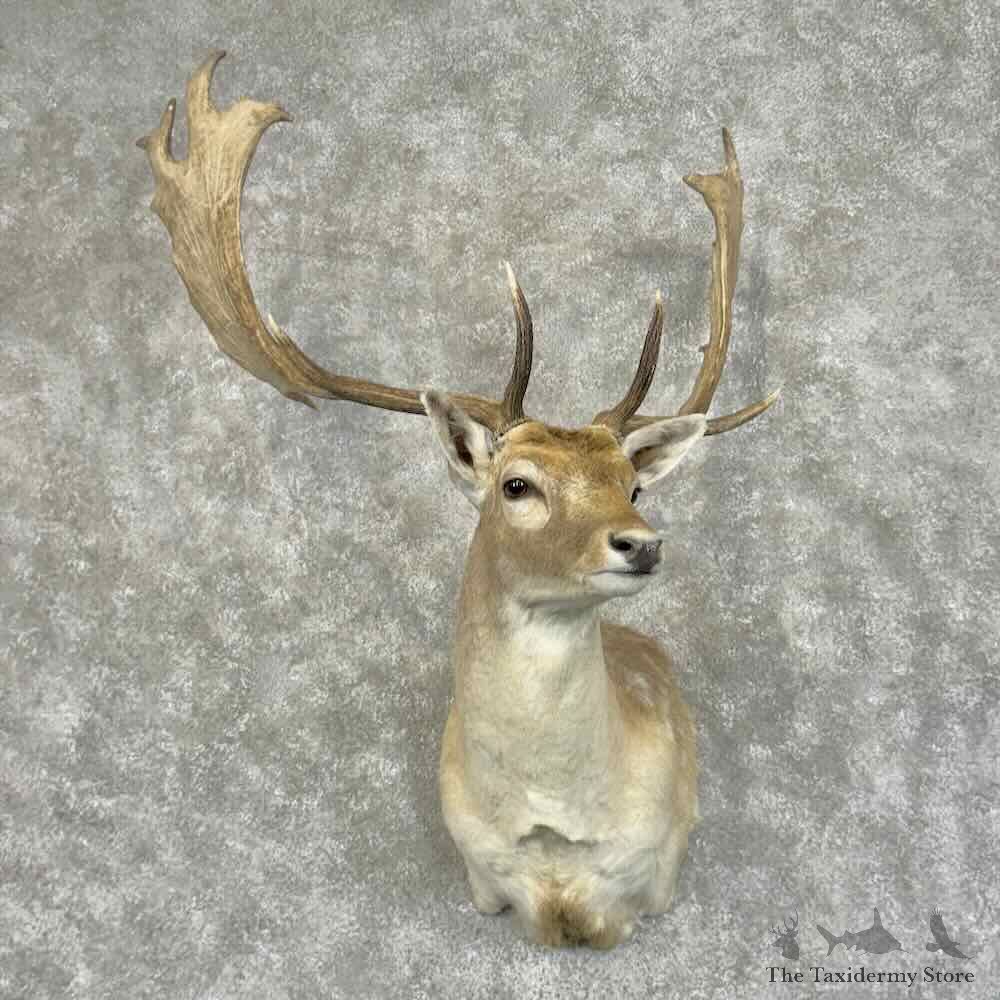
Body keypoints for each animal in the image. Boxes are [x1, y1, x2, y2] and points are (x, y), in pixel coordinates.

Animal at [136, 50, 779, 950]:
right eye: (518, 484)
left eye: (633, 483)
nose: (640, 541)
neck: (554, 839)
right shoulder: (480, 879)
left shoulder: (658, 872)